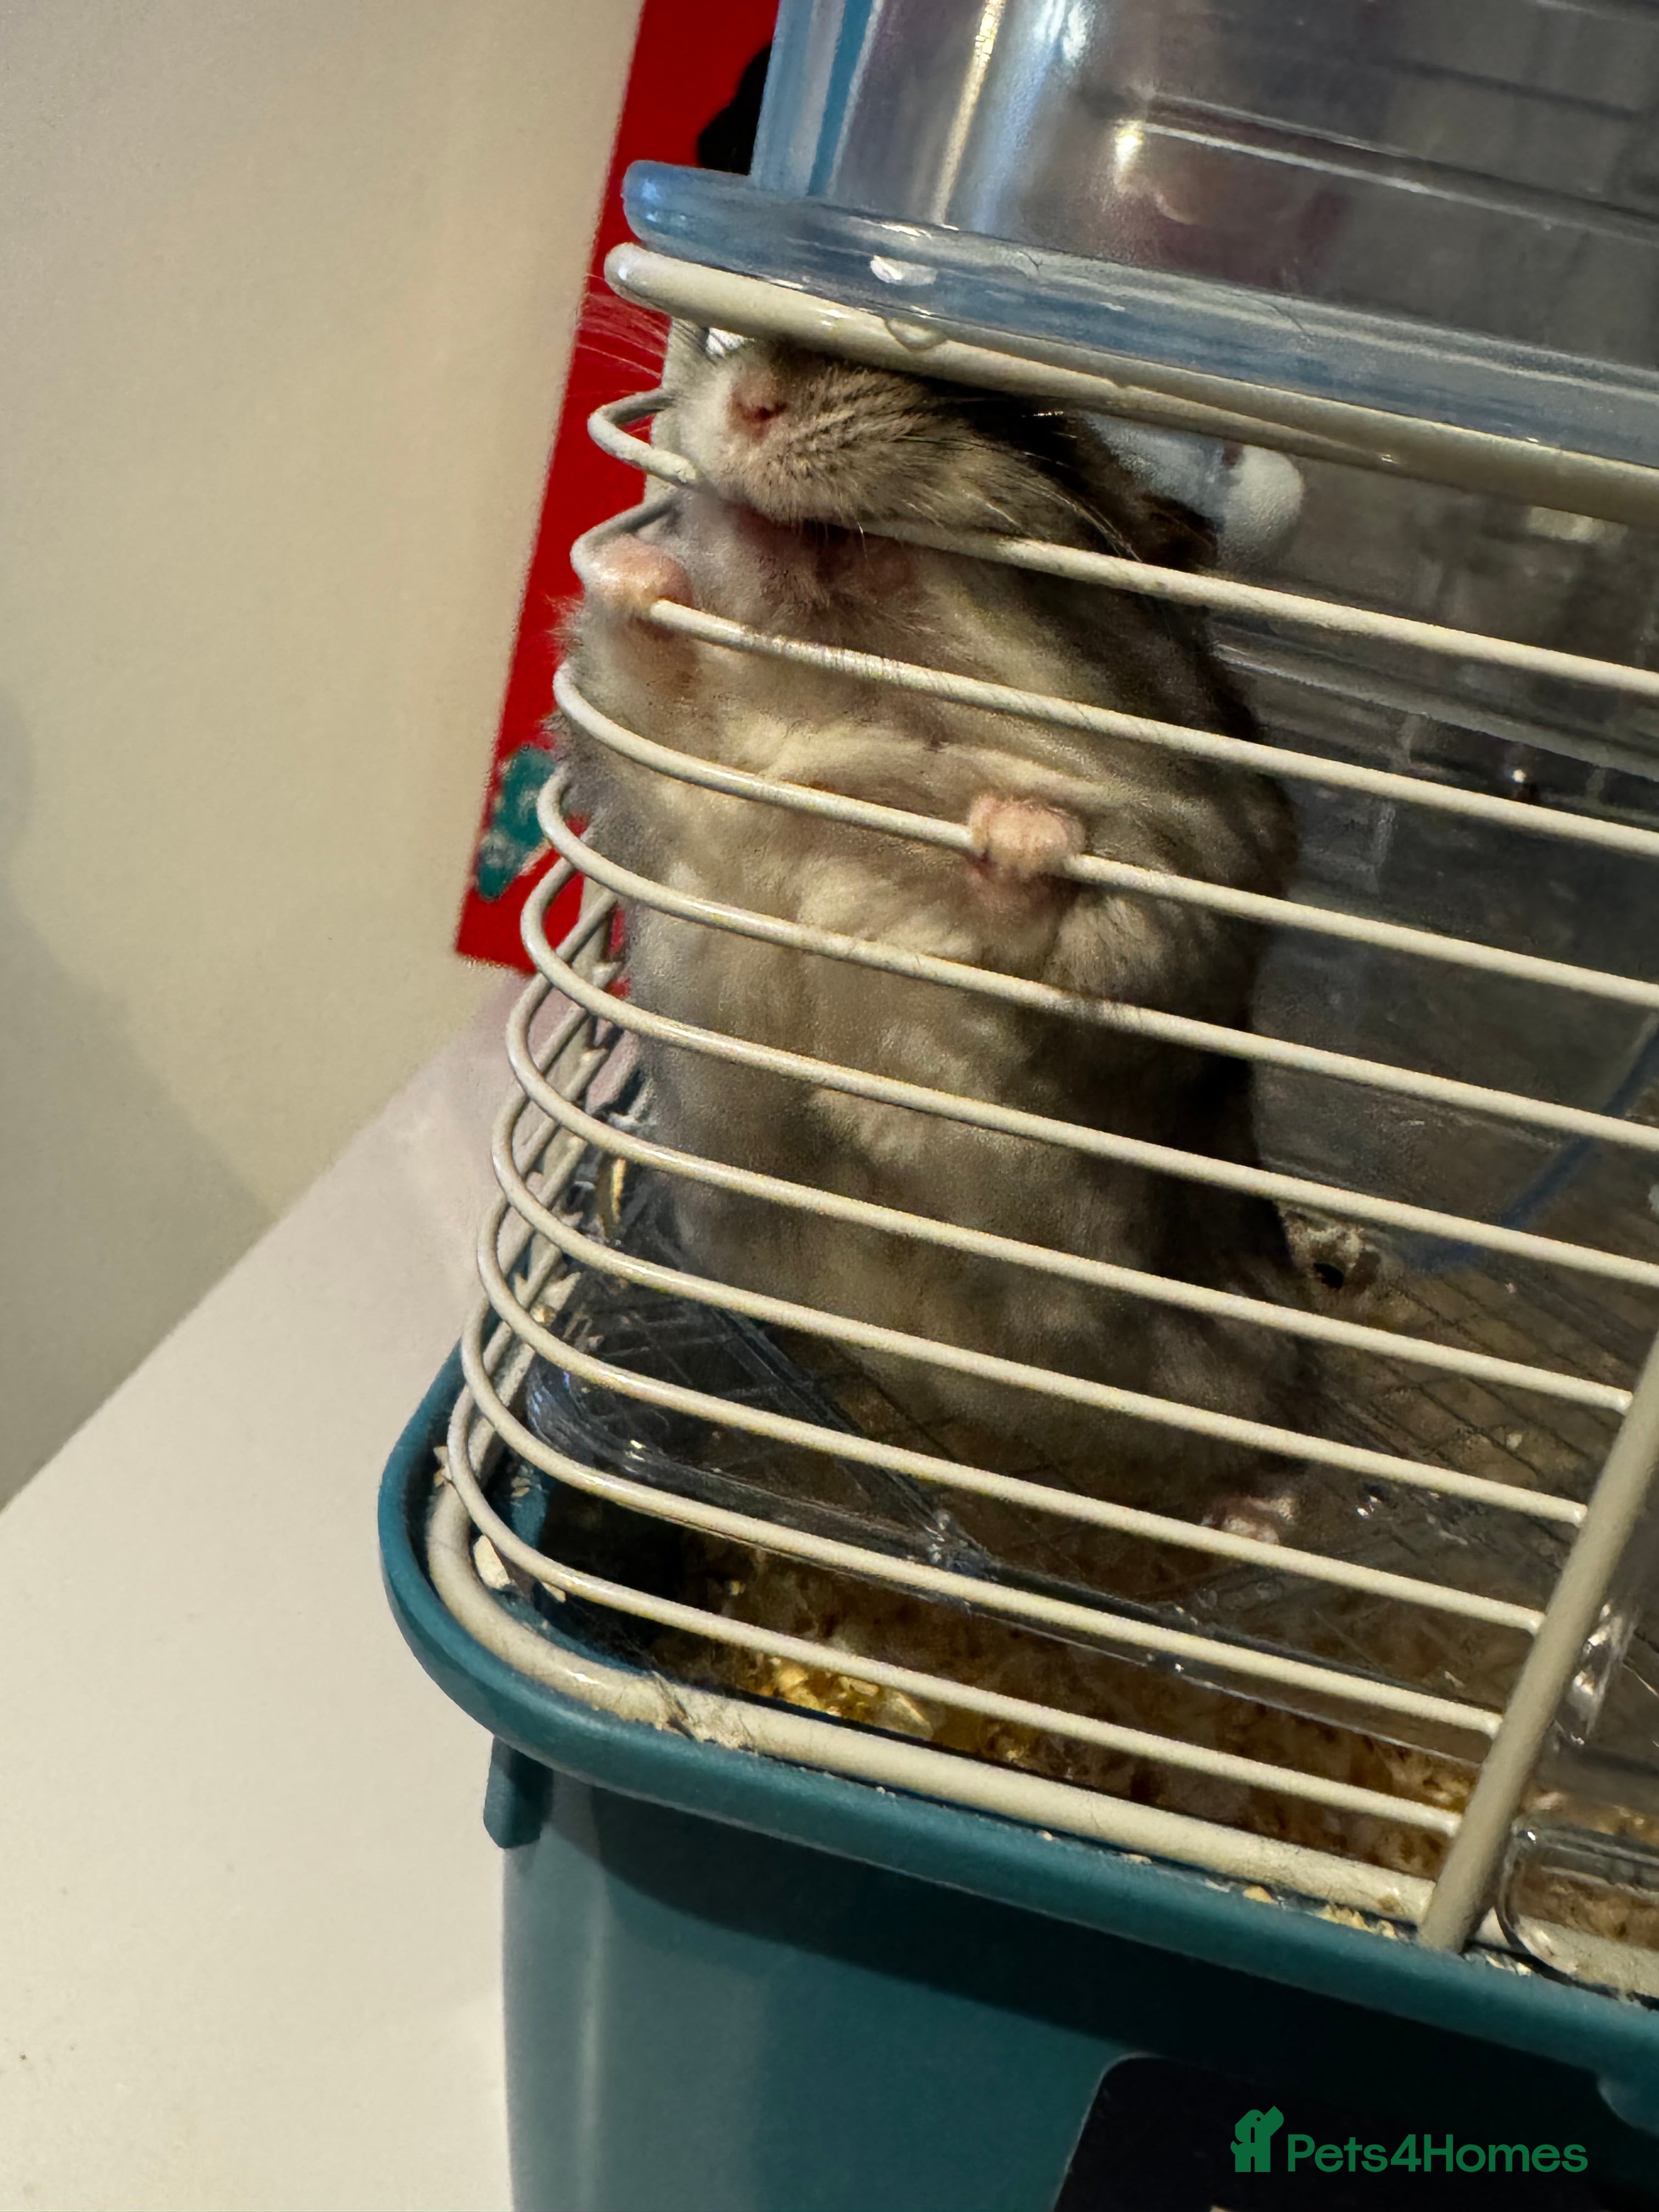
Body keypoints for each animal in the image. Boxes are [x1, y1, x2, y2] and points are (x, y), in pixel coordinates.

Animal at [559, 323, 1313, 1539]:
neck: (841, 691)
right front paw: (634, 570)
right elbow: (647, 676)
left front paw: (1014, 827)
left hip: (1242, 1352)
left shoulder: (1188, 878)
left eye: (1012, 417)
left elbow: (1055, 903)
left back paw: (1253, 1520)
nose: (755, 399)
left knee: (1288, 1440)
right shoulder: (675, 784)